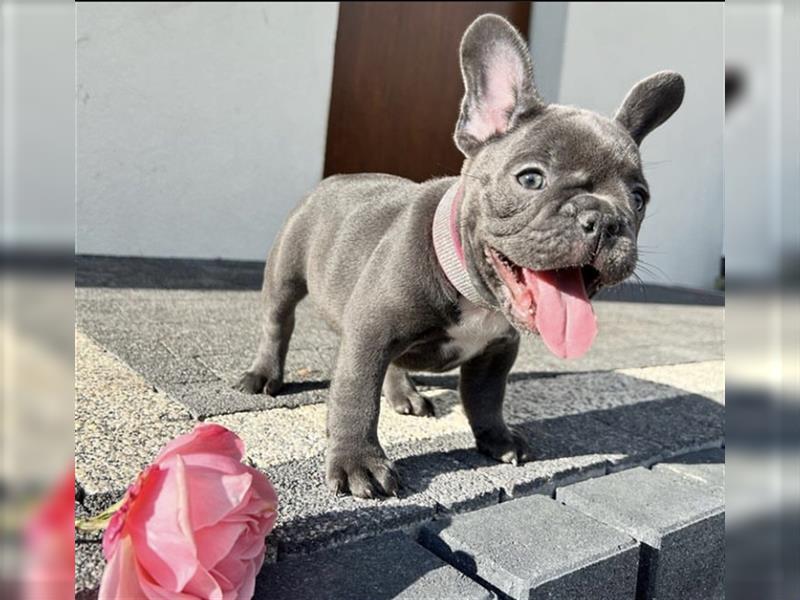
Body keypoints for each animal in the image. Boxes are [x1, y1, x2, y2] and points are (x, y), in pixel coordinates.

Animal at [234, 16, 684, 500]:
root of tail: (334, 179)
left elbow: (486, 400)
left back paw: (404, 394)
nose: (603, 219)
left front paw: (497, 439)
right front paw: (359, 463)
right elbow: (355, 397)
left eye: (639, 199)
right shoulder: (370, 335)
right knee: (278, 324)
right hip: (285, 274)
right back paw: (264, 374)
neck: (472, 292)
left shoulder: (496, 354)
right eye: (531, 179)